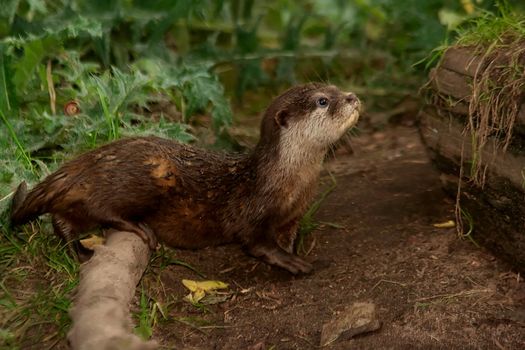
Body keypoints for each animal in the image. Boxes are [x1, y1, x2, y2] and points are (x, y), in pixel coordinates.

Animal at [9, 83, 360, 274]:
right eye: (323, 101)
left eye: (335, 89)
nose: (353, 97)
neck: (289, 182)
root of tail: (88, 160)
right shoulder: (251, 209)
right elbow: (255, 241)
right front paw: (290, 262)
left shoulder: (292, 216)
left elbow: (287, 237)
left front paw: (291, 253)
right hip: (145, 177)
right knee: (101, 207)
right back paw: (137, 229)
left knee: (64, 220)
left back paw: (79, 249)